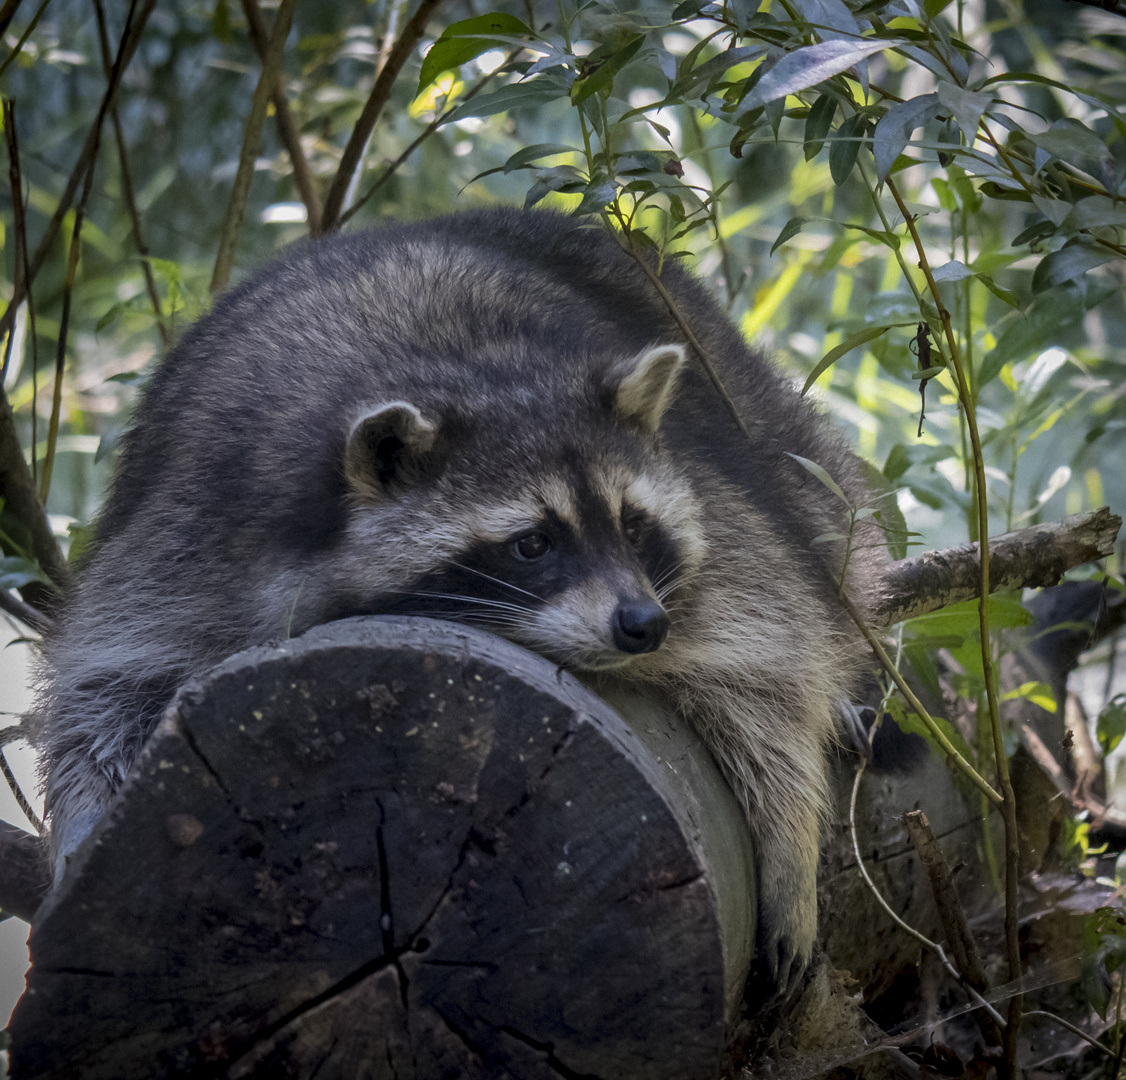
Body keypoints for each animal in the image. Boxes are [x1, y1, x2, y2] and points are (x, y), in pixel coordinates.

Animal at [37, 207, 878, 991]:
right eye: (532, 543)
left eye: (635, 525)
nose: (643, 626)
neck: (465, 371)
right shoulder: (203, 517)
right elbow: (112, 679)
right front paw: (85, 832)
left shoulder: (711, 519)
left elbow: (771, 644)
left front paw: (788, 833)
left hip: (733, 386)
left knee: (819, 499)